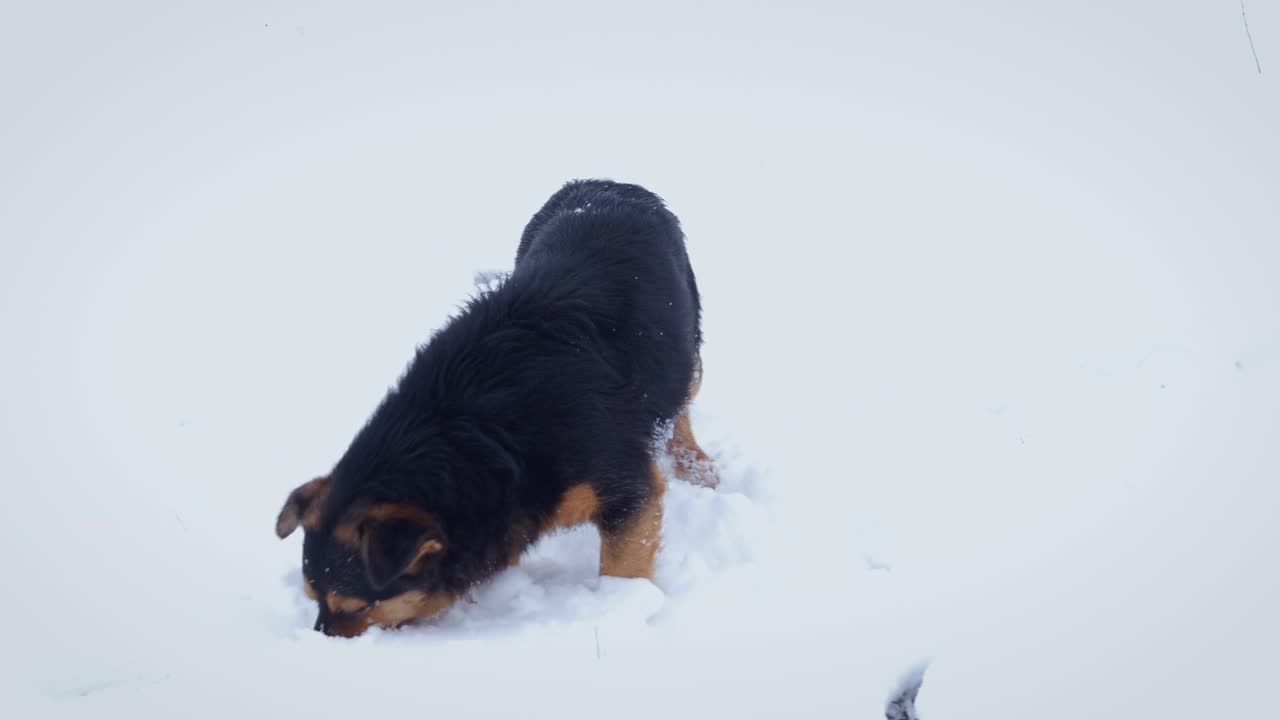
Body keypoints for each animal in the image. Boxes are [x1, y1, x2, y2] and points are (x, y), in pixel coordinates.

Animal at [273, 178, 716, 632]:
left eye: (356, 607)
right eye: (313, 598)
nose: (321, 640)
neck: (472, 432)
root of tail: (608, 183)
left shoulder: (622, 485)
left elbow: (623, 566)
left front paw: (622, 608)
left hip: (687, 335)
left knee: (682, 398)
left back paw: (696, 465)